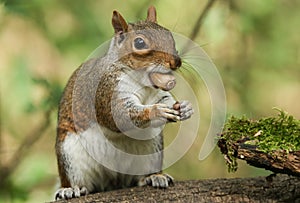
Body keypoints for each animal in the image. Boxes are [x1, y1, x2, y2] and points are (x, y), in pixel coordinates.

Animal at [54, 5, 193, 200]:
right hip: (70, 155)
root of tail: (112, 179)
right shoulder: (105, 91)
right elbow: (120, 116)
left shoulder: (158, 93)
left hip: (151, 150)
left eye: (169, 35)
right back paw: (71, 189)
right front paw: (156, 111)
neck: (141, 81)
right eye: (140, 43)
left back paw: (153, 177)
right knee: (76, 179)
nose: (176, 62)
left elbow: (166, 99)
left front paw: (185, 108)